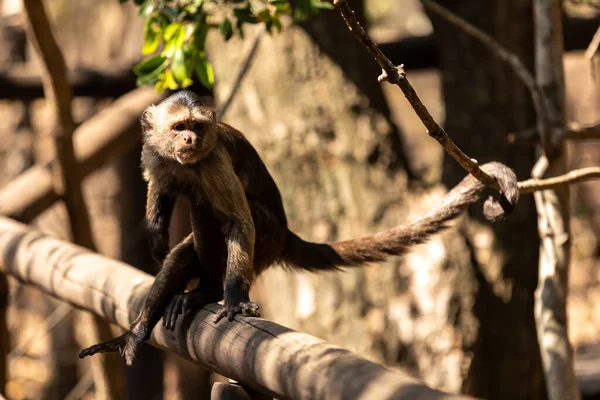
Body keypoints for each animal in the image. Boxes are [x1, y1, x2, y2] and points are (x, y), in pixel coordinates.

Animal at [78, 90, 520, 366]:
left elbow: (238, 222)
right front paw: (155, 234)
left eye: (196, 127)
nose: (189, 139)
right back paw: (139, 329)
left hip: (269, 239)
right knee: (182, 251)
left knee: (215, 210)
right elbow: (162, 191)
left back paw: (207, 291)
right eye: (178, 128)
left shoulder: (213, 159)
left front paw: (234, 298)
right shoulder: (154, 152)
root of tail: (287, 234)